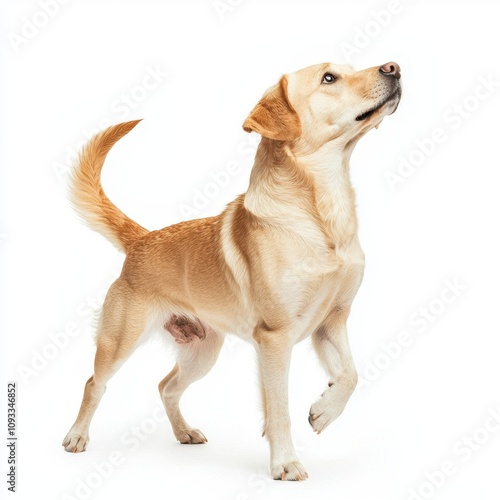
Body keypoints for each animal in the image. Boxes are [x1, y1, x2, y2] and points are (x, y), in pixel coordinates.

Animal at [61, 60, 402, 478]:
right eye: (329, 78)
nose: (394, 67)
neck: (323, 213)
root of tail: (142, 238)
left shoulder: (332, 321)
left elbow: (351, 374)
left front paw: (323, 411)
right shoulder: (275, 339)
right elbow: (279, 409)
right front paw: (285, 462)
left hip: (202, 352)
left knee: (165, 386)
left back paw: (185, 432)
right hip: (120, 341)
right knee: (94, 383)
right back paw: (77, 436)